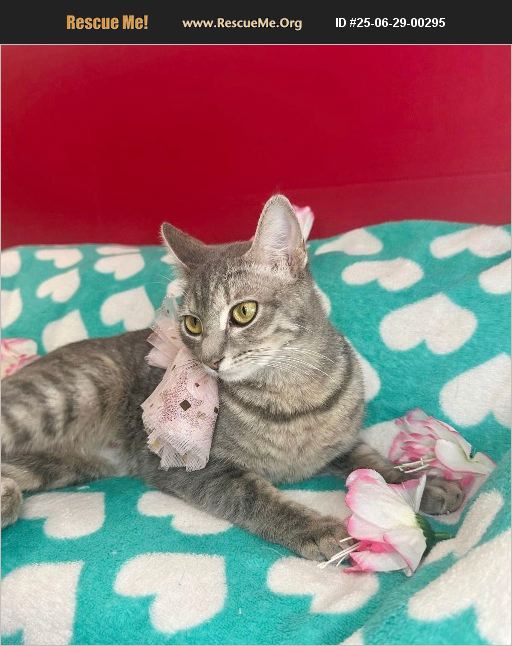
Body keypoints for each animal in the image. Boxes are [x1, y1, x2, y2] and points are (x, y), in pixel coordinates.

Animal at [0, 195, 463, 559]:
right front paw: (319, 530)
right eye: (191, 324)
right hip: (57, 398)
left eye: (243, 312)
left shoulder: (342, 445)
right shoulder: (199, 470)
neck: (292, 395)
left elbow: (375, 465)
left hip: (61, 464)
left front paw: (425, 484)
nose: (208, 359)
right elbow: (256, 498)